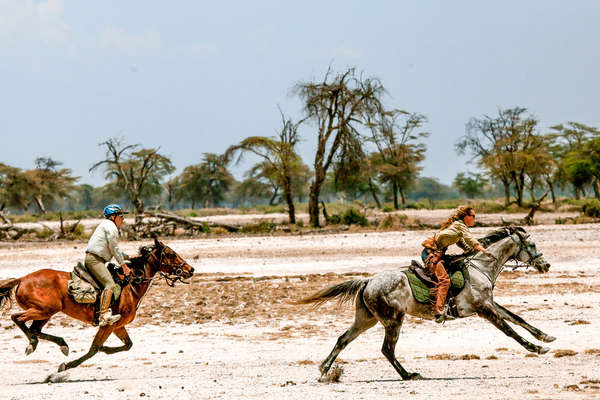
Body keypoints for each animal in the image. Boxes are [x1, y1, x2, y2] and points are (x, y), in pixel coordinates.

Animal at [0, 238, 193, 372]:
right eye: (171, 254)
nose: (190, 270)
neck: (131, 284)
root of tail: (22, 279)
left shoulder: (118, 326)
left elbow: (127, 345)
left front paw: (105, 349)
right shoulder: (108, 325)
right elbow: (94, 348)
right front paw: (67, 366)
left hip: (46, 313)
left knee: (34, 329)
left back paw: (58, 344)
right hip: (44, 310)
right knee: (17, 318)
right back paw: (33, 343)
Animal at [298, 227, 556, 380]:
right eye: (532, 246)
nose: (546, 265)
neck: (480, 267)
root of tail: (369, 280)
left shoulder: (490, 304)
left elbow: (518, 318)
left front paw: (546, 337)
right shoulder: (484, 309)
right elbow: (510, 330)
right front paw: (536, 348)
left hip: (366, 320)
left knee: (343, 339)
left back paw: (323, 370)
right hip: (394, 320)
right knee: (387, 349)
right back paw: (409, 375)